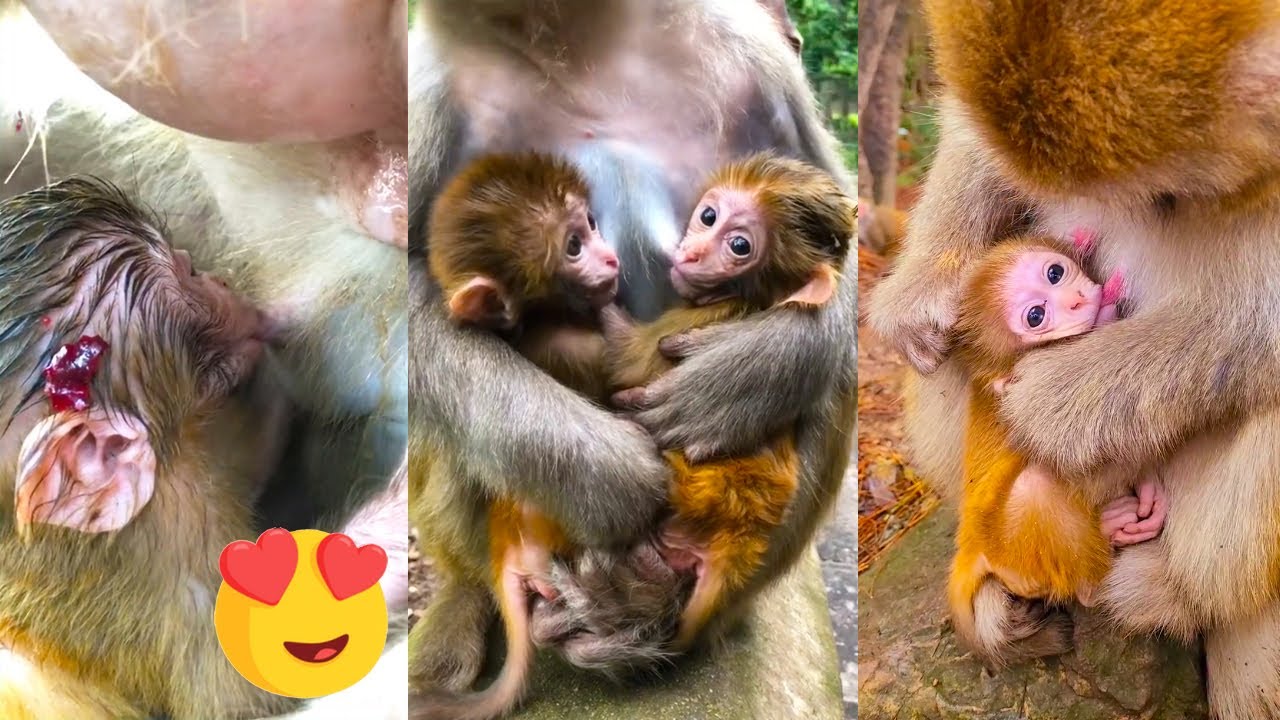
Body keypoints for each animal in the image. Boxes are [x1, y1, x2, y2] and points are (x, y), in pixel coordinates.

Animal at [600, 153, 856, 651]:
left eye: (740, 246)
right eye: (708, 217)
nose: (693, 253)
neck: (744, 296)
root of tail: (735, 541)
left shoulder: (694, 320)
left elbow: (624, 359)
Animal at [946, 234, 1167, 666]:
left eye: (1055, 273)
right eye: (1036, 316)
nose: (1077, 301)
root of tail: (971, 548)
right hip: (1016, 558)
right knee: (1034, 488)